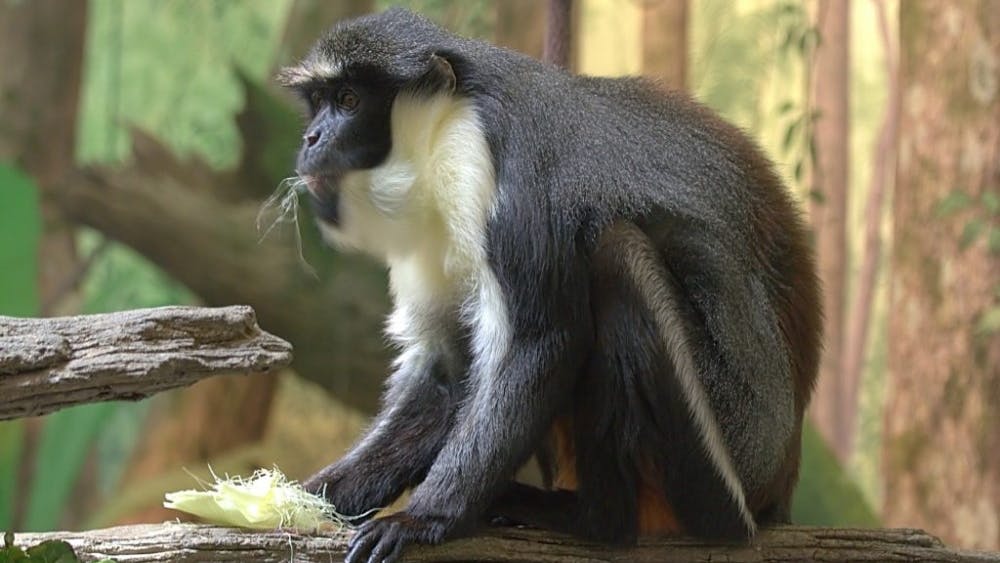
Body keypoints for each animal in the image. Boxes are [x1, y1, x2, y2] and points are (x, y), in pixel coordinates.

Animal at [278, 8, 821, 563]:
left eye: (348, 100)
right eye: (317, 103)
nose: (311, 138)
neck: (443, 128)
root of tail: (779, 483)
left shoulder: (500, 176)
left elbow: (542, 341)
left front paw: (420, 519)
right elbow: (446, 371)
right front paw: (309, 496)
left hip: (717, 471)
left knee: (618, 257)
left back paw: (595, 521)